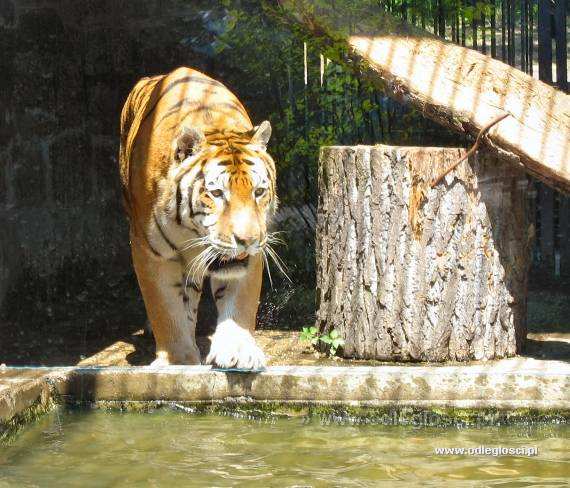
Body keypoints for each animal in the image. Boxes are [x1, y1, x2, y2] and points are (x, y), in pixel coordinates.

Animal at [120, 66, 278, 368]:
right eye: (216, 193)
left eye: (259, 191)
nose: (248, 240)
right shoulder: (149, 251)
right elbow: (165, 309)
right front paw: (177, 361)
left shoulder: (250, 256)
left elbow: (239, 302)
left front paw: (239, 350)